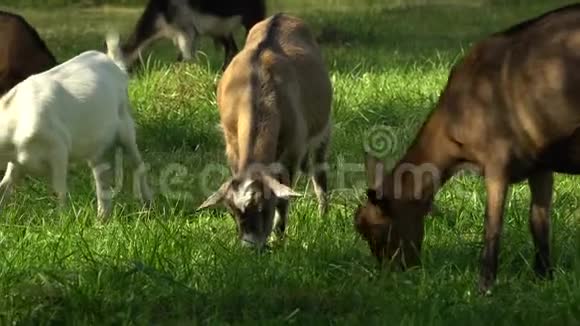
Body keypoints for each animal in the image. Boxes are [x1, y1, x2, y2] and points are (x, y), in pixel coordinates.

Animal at [0, 33, 152, 218]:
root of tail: (115, 65)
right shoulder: (16, 161)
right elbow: (4, 185)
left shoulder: (58, 149)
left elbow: (59, 190)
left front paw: (62, 219)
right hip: (96, 145)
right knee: (102, 176)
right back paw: (102, 217)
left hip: (126, 128)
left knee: (138, 164)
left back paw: (148, 204)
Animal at [112, 0, 266, 70]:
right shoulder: (186, 34)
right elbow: (182, 57)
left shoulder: (186, 32)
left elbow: (186, 59)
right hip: (222, 30)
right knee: (232, 49)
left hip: (252, 18)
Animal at [196, 12, 334, 247]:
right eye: (232, 212)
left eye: (264, 208)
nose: (250, 247)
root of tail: (281, 15)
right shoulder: (231, 145)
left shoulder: (293, 148)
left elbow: (285, 197)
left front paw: (279, 237)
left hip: (323, 131)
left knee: (319, 172)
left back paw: (324, 216)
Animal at [354, 2, 580, 294]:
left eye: (377, 231)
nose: (392, 275)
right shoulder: (539, 162)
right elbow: (539, 221)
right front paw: (544, 277)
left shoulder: (497, 160)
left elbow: (492, 225)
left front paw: (484, 286)